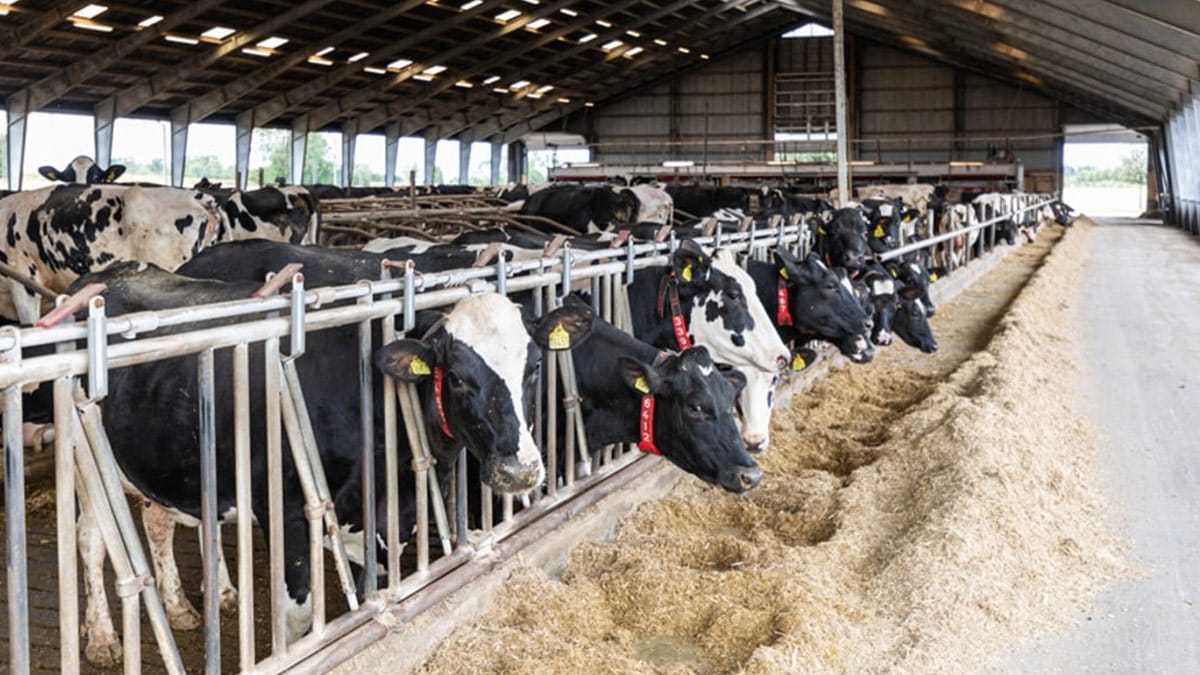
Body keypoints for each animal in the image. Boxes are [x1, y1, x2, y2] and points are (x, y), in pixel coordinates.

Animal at [71, 261, 590, 662]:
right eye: (459, 377)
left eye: (534, 367)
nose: (520, 471)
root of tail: (111, 273)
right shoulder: (287, 509)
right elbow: (298, 617)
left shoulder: (389, 520)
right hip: (85, 460)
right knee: (92, 541)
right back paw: (101, 638)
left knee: (161, 521)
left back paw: (189, 605)